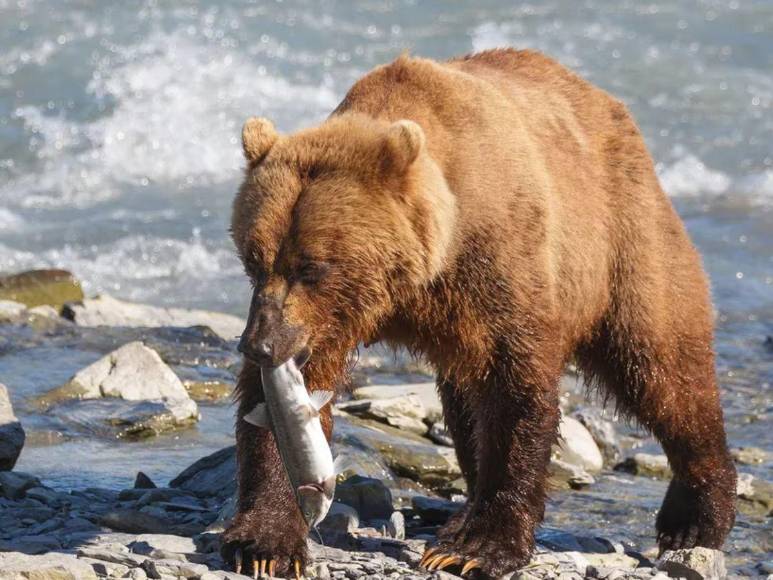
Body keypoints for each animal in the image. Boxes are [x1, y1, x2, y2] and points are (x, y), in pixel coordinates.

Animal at [224, 49, 736, 578]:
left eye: (311, 266)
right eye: (252, 259)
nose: (258, 344)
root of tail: (611, 106)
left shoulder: (500, 264)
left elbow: (515, 394)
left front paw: (477, 546)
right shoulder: (332, 319)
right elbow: (290, 400)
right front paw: (266, 542)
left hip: (626, 242)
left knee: (662, 369)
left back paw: (693, 519)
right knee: (464, 405)